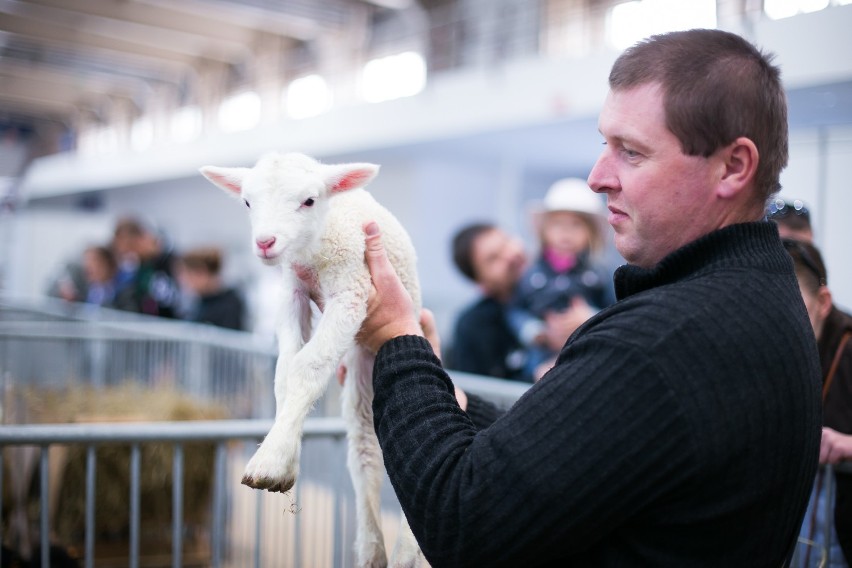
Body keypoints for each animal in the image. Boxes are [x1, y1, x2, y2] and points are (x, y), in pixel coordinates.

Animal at [201, 152, 426, 568]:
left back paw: (405, 551)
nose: (265, 243)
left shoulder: (352, 290)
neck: (313, 249)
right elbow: (284, 373)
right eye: (247, 202)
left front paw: (271, 462)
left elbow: (307, 366)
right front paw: (285, 456)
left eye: (308, 200)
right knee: (365, 447)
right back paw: (372, 550)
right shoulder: (292, 291)